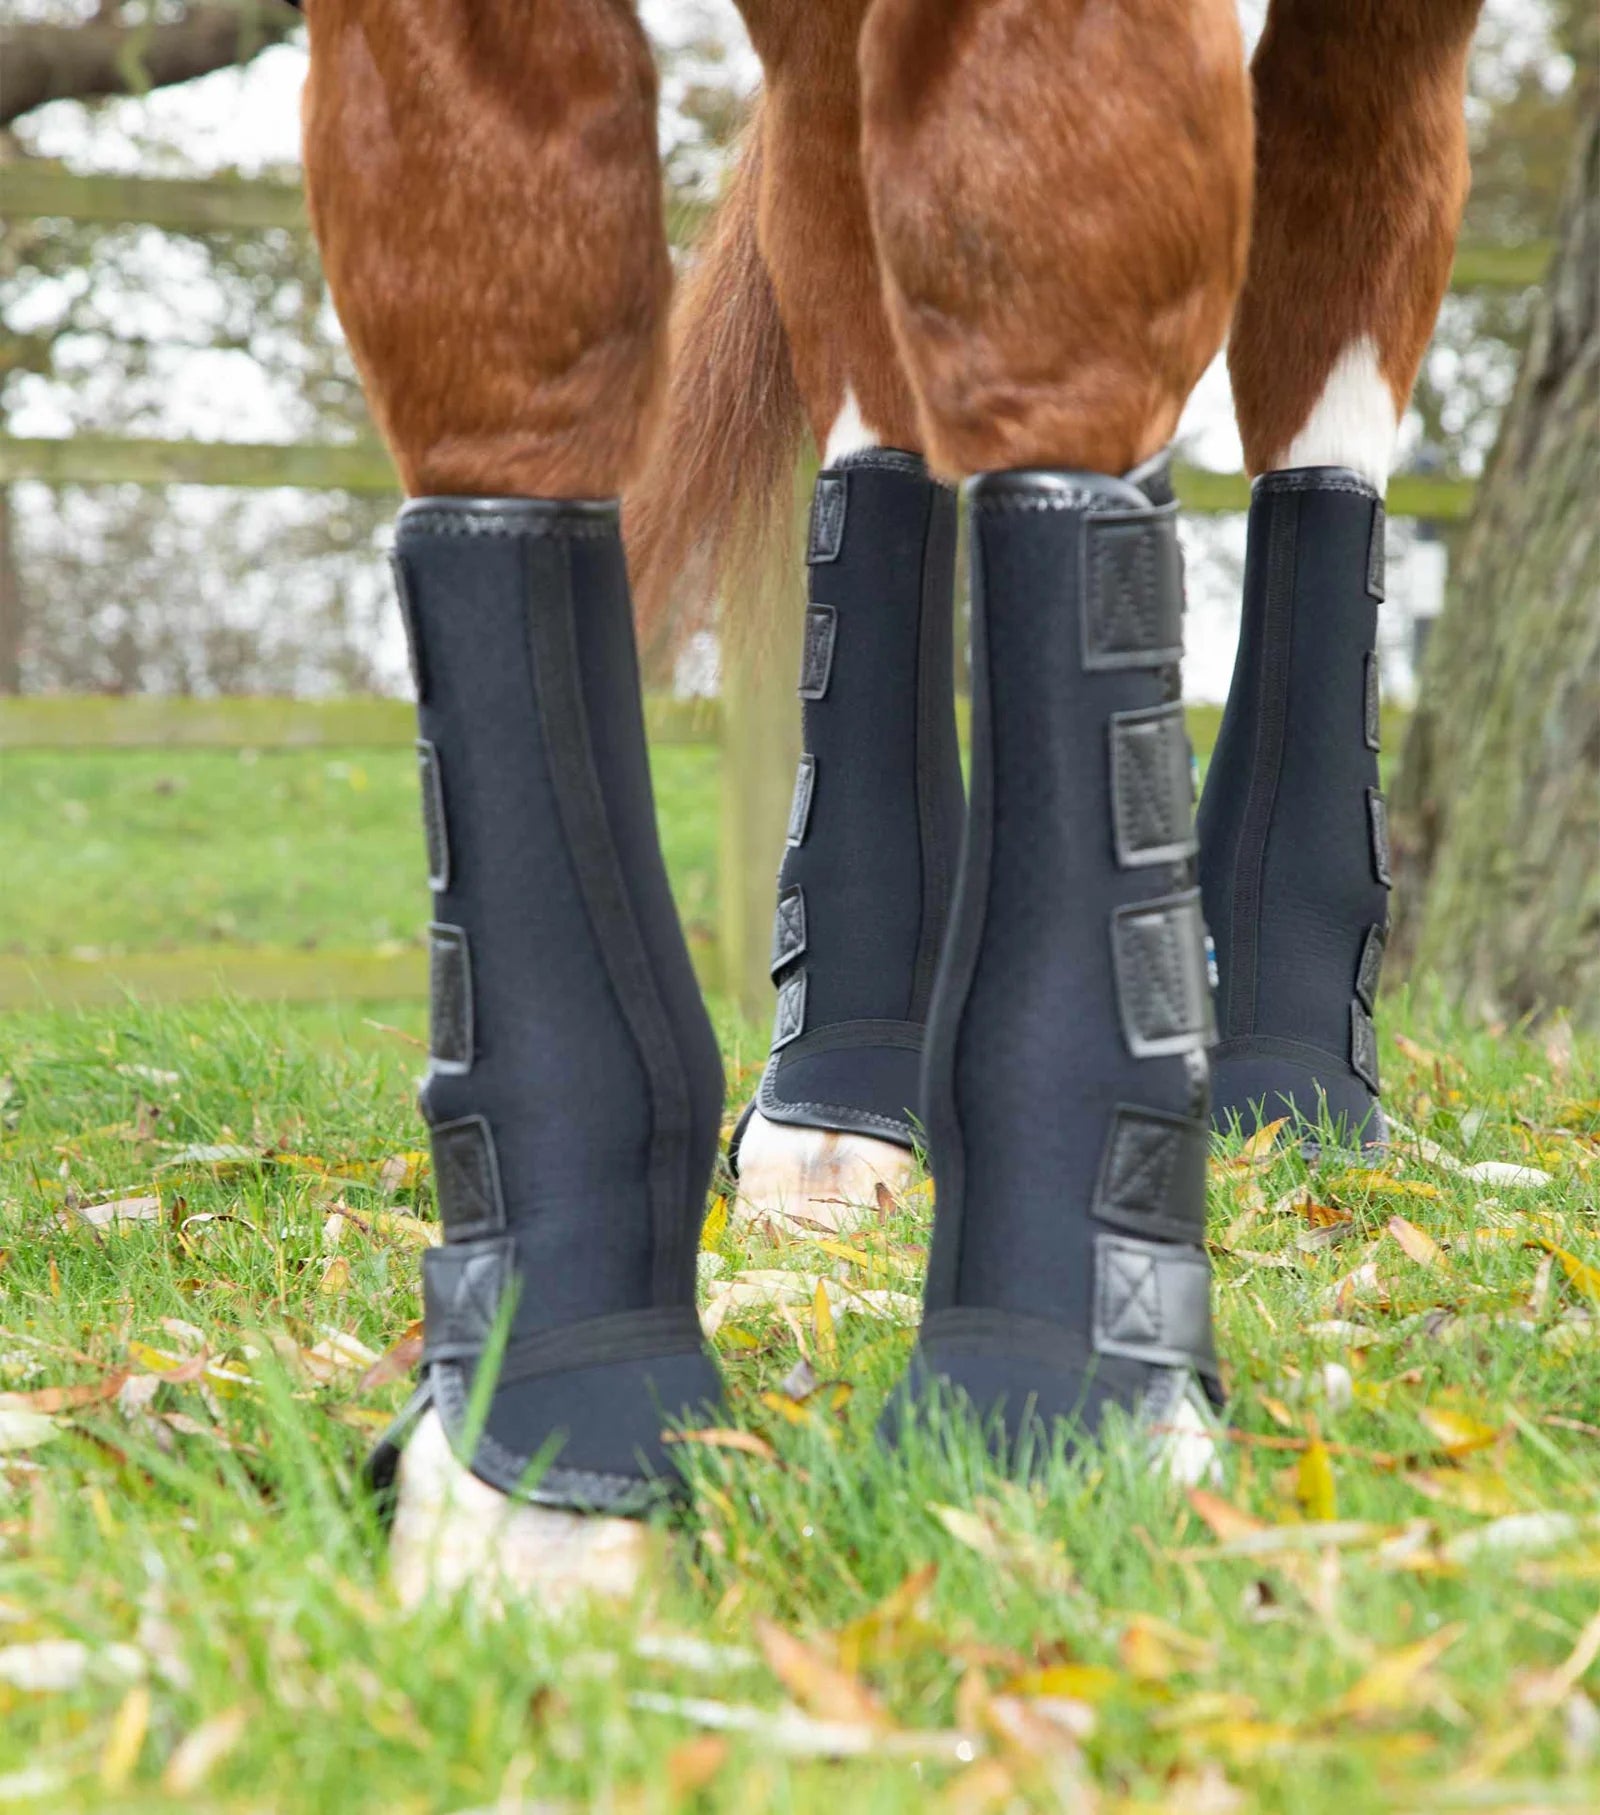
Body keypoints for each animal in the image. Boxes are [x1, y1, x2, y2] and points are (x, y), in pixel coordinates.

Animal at [298, 0, 1483, 1608]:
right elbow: (500, 371)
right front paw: (545, 1444)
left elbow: (1062, 323)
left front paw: (1061, 1393)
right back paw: (847, 1096)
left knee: (1332, 304)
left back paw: (1294, 1074)